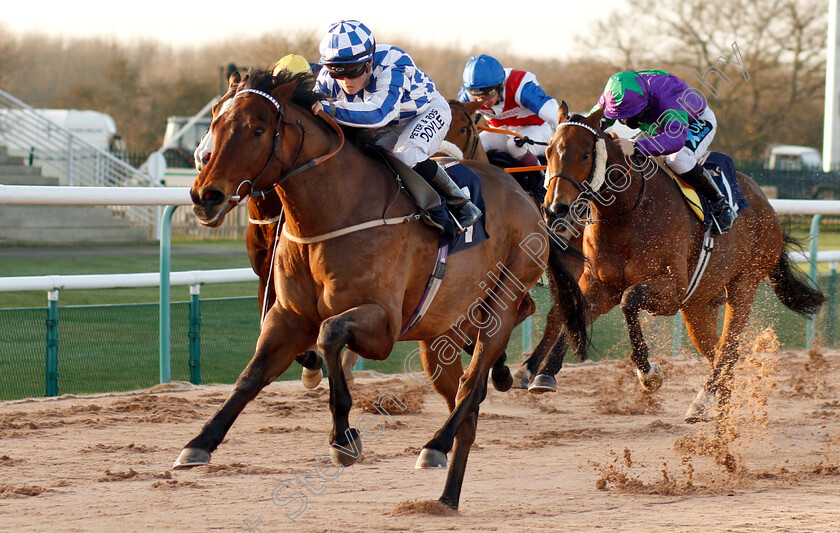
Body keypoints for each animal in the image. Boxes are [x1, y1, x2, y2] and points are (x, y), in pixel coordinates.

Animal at [175, 68, 588, 510]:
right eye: (215, 123)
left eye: (256, 130)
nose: (205, 196)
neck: (333, 212)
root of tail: (528, 202)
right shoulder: (288, 317)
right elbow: (250, 376)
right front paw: (199, 443)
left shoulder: (383, 325)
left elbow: (330, 334)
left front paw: (344, 438)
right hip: (438, 334)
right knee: (467, 400)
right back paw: (449, 489)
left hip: (500, 303)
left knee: (473, 381)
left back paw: (436, 445)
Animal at [540, 103, 824, 420]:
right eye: (548, 151)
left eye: (585, 154)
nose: (555, 209)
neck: (628, 211)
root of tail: (767, 204)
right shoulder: (601, 286)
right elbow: (575, 312)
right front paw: (545, 373)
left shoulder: (673, 290)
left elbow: (629, 300)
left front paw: (649, 374)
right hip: (700, 305)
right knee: (717, 352)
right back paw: (720, 416)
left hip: (745, 284)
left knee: (728, 350)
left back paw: (702, 401)